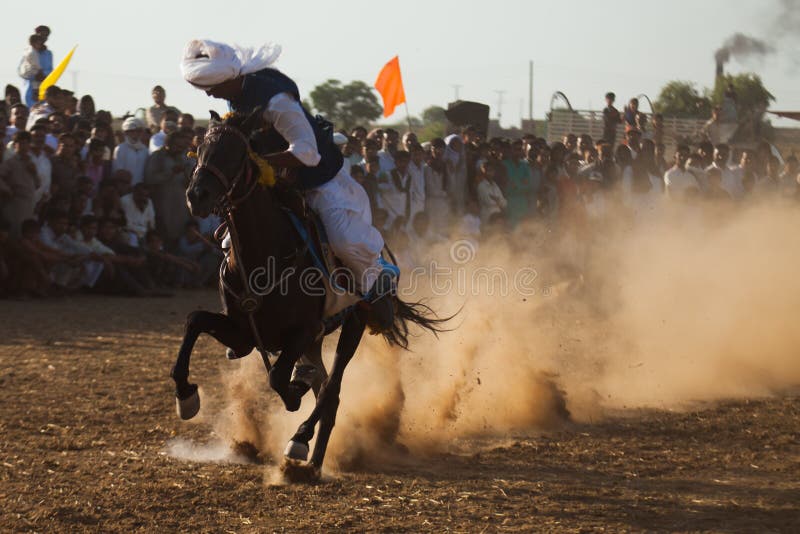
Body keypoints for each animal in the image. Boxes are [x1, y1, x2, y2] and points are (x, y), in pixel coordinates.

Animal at [170, 109, 444, 478]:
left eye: (236, 153)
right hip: (312, 344)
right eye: (199, 148)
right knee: (327, 393)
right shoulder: (244, 334)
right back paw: (312, 458)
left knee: (331, 390)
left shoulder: (304, 331)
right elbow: (195, 320)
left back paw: (302, 443)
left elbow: (280, 378)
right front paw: (186, 396)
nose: (196, 195)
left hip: (352, 326)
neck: (265, 255)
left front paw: (295, 397)